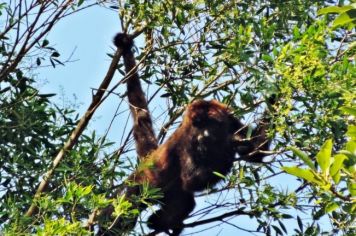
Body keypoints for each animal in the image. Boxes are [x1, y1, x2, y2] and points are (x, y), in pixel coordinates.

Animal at [98, 33, 274, 236]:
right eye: (197, 124)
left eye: (209, 123)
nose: (203, 137)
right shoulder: (186, 141)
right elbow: (192, 180)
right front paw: (228, 149)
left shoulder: (231, 121)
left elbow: (256, 152)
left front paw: (273, 98)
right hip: (141, 182)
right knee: (123, 208)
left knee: (184, 201)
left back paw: (161, 223)